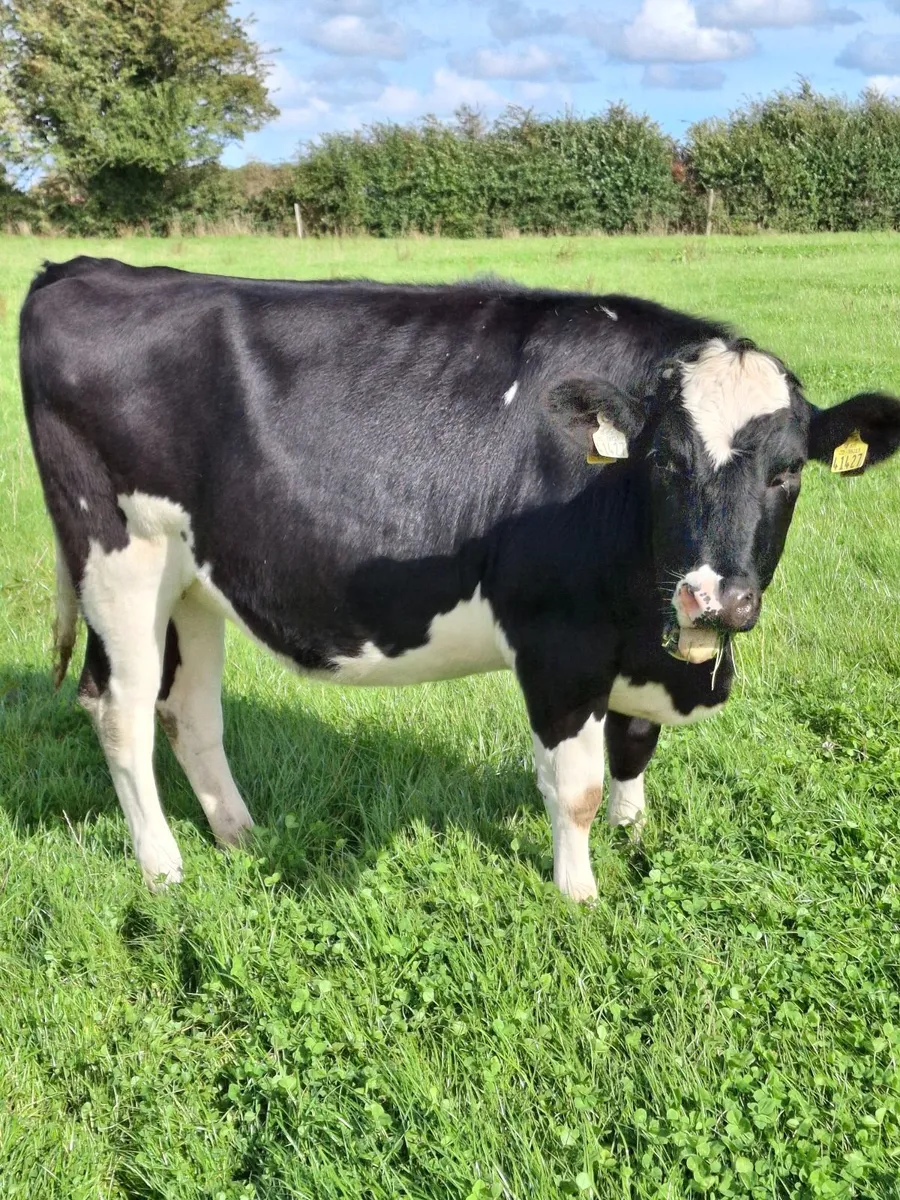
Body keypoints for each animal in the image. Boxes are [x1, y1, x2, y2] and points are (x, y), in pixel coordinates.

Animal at [20, 256, 900, 898]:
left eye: (789, 472)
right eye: (665, 461)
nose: (714, 596)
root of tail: (82, 267)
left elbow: (634, 748)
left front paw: (635, 837)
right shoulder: (558, 644)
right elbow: (575, 785)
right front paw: (579, 896)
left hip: (195, 581)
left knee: (189, 708)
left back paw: (240, 835)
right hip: (119, 560)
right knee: (121, 709)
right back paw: (163, 867)